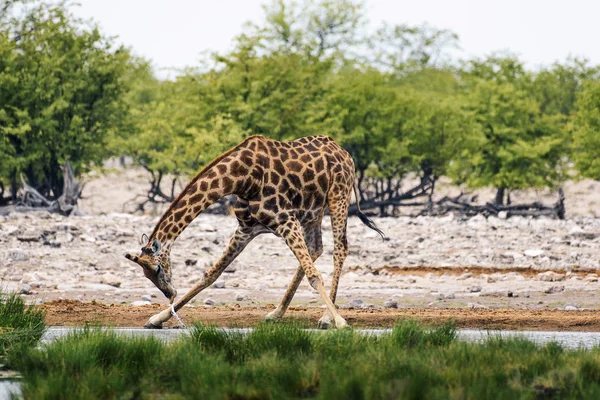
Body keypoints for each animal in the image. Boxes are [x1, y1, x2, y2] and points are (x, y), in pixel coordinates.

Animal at [125, 134, 384, 328]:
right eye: (146, 275)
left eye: (158, 269)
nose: (169, 292)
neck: (241, 178)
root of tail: (345, 153)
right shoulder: (246, 228)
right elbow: (211, 274)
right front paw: (157, 319)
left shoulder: (285, 219)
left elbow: (314, 275)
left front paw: (340, 322)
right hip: (313, 211)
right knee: (316, 248)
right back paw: (276, 313)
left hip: (338, 196)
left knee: (339, 249)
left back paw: (326, 318)